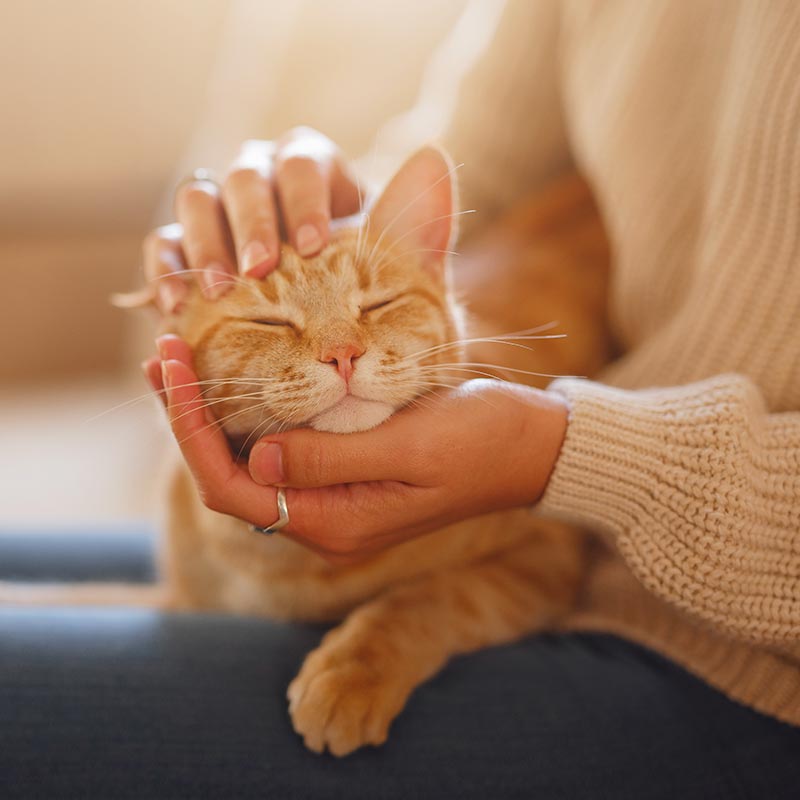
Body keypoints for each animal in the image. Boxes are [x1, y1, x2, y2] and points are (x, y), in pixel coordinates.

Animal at [1, 145, 612, 756]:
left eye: (377, 304)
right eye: (269, 321)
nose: (343, 353)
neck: (290, 572)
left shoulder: (546, 552)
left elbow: (429, 597)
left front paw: (353, 674)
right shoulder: (181, 598)